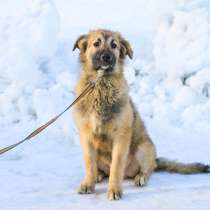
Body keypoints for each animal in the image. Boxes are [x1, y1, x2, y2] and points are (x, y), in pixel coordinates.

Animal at [72, 29, 210, 200]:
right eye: (96, 43)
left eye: (114, 45)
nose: (107, 57)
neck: (101, 86)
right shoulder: (87, 137)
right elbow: (90, 164)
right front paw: (88, 184)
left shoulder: (121, 138)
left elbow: (116, 168)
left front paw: (114, 189)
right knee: (103, 170)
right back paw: (99, 175)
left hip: (144, 148)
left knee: (148, 168)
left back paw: (141, 177)